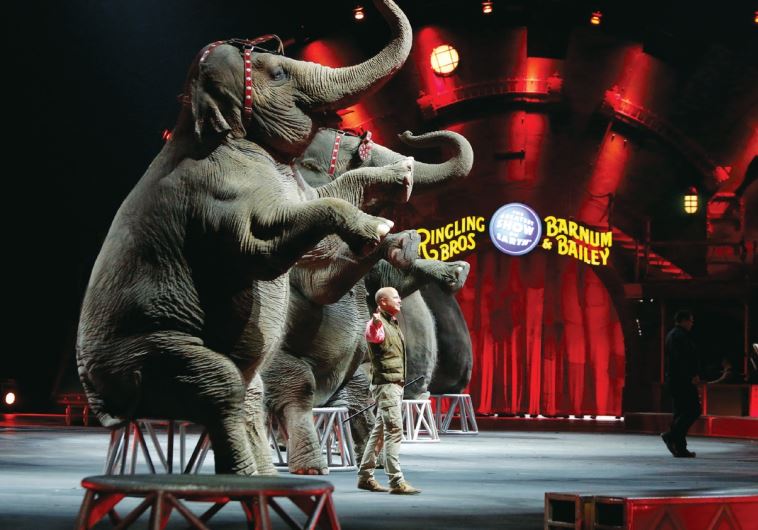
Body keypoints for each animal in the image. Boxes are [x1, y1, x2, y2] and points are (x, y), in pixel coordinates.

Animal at [77, 0, 412, 474]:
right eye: (280, 73)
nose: (403, 151)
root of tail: (107, 410)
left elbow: (318, 208)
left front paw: (402, 176)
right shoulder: (215, 195)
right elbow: (259, 248)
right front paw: (379, 229)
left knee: (247, 393)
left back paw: (265, 475)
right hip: (144, 352)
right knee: (220, 386)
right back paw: (247, 475)